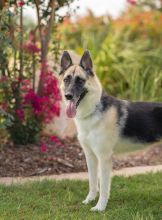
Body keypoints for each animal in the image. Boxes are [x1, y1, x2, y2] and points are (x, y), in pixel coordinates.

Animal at [58, 50, 162, 211]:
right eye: (66, 79)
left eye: (80, 80)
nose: (68, 96)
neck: (93, 111)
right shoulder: (90, 156)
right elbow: (93, 182)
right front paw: (89, 200)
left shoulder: (104, 158)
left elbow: (104, 187)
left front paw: (100, 207)